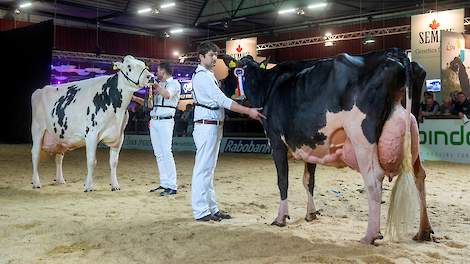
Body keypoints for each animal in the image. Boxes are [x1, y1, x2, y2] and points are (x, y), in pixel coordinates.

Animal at [29, 55, 154, 192]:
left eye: (145, 65)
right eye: (129, 66)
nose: (151, 77)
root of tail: (39, 90)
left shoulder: (119, 136)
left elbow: (114, 162)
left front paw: (115, 185)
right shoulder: (91, 134)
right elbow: (91, 161)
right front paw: (88, 185)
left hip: (60, 137)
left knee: (59, 157)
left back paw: (60, 180)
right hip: (37, 129)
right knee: (35, 154)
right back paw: (36, 182)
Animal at [223, 49, 434, 243]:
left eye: (233, 72)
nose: (225, 86)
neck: (268, 86)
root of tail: (396, 55)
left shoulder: (276, 142)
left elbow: (283, 181)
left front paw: (281, 217)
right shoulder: (311, 144)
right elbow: (308, 181)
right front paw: (311, 214)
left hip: (362, 137)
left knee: (374, 180)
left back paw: (370, 235)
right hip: (412, 134)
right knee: (419, 175)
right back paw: (423, 232)